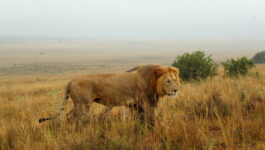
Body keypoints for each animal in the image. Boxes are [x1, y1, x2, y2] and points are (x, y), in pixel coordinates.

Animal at [39, 64, 179, 125]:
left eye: (175, 80)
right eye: (168, 81)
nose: (176, 90)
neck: (153, 82)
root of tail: (70, 81)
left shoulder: (133, 104)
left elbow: (135, 118)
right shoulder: (146, 102)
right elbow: (151, 119)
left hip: (78, 104)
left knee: (68, 116)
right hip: (83, 105)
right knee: (77, 119)